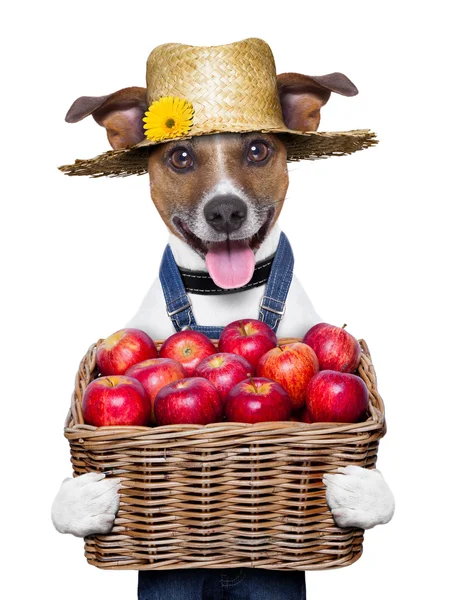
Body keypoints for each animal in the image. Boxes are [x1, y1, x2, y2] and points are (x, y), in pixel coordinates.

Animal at [51, 39, 394, 596]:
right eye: (181, 155)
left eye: (257, 149)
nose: (226, 211)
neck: (223, 296)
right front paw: (85, 500)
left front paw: (360, 492)